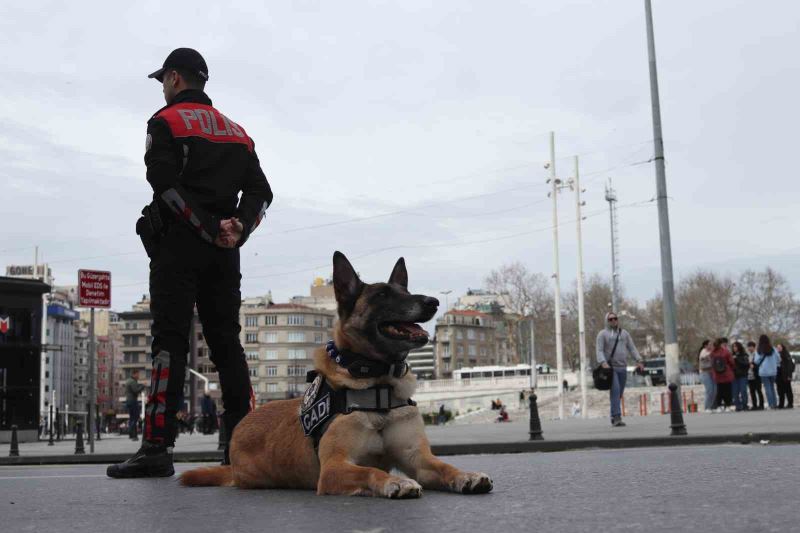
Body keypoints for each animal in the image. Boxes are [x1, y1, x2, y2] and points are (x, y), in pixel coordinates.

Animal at [181, 251, 494, 496]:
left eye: (406, 292)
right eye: (382, 295)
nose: (433, 302)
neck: (378, 383)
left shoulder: (418, 460)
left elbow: (444, 466)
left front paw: (466, 475)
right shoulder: (333, 468)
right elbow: (370, 471)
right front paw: (395, 482)